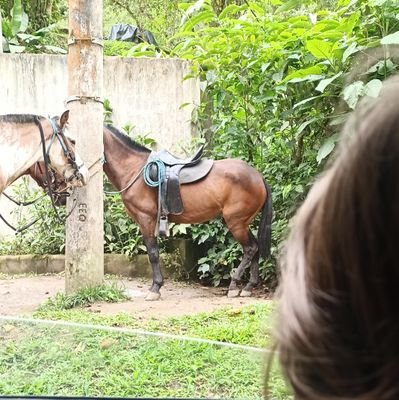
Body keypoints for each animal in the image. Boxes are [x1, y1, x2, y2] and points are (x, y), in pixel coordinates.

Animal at [28, 125, 272, 300]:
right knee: (255, 248)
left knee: (250, 249)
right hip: (243, 222)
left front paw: (155, 288)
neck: (133, 169)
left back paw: (234, 285)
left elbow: (153, 253)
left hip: (236, 222)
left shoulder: (145, 219)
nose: (59, 195)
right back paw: (249, 287)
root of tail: (258, 176)